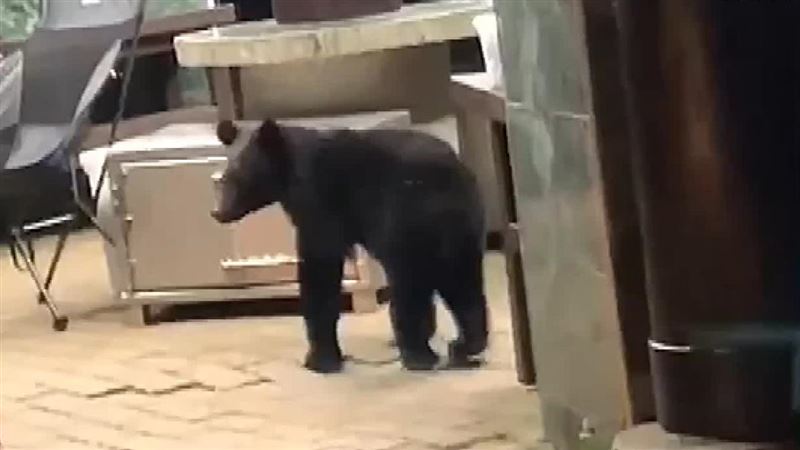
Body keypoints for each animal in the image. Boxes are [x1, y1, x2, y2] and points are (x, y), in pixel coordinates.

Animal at [211, 119, 489, 374]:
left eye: (236, 177)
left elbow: (319, 267)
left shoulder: (320, 202)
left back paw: (418, 354)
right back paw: (463, 347)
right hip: (462, 229)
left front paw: (320, 358)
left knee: (410, 283)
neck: (289, 173)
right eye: (224, 178)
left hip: (406, 220)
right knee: (462, 282)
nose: (217, 212)